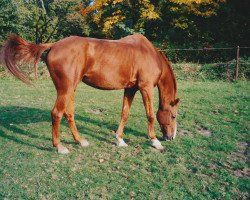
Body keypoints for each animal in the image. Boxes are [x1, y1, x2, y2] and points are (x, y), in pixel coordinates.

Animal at [1, 33, 179, 154]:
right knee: (57, 113)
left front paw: (120, 140)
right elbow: (150, 115)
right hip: (65, 90)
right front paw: (155, 141)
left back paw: (80, 141)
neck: (150, 54)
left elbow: (124, 114)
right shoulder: (145, 88)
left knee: (69, 113)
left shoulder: (130, 89)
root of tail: (54, 45)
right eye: (173, 116)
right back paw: (60, 147)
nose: (171, 137)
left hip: (70, 89)